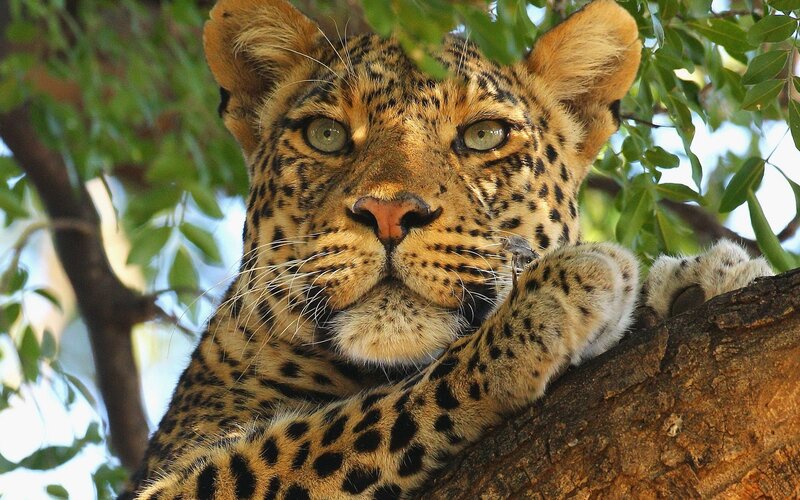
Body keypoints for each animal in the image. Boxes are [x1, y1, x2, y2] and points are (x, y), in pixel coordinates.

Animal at [123, 0, 773, 498]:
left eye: (483, 135)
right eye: (326, 135)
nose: (388, 213)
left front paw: (701, 279)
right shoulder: (177, 479)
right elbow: (345, 424)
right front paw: (551, 301)